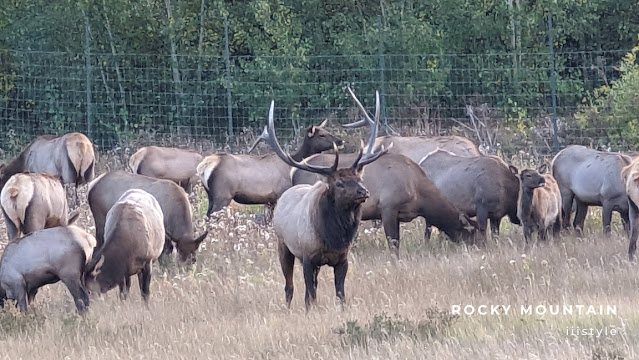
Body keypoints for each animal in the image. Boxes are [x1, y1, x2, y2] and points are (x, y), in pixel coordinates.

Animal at [196, 117, 342, 217]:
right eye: (322, 135)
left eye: (326, 130)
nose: (340, 141)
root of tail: (204, 166)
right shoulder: (279, 193)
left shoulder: (269, 201)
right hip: (222, 195)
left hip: (210, 195)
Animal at [266, 100, 390, 310]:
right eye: (339, 183)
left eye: (359, 178)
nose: (363, 192)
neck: (333, 238)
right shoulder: (308, 257)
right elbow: (309, 296)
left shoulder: (342, 259)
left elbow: (340, 295)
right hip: (283, 245)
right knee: (289, 286)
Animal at [290, 89, 476, 256]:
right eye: (473, 232)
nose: (478, 246)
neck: (417, 191)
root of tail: (293, 172)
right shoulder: (387, 206)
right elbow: (394, 245)